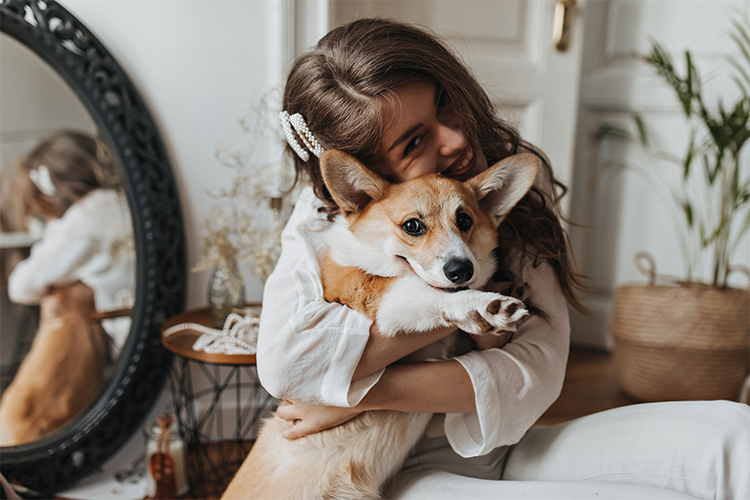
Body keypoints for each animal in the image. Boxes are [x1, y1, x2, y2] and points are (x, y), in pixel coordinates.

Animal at [223, 150, 540, 500]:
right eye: (412, 226)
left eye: (465, 221)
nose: (461, 270)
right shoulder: (369, 295)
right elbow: (425, 293)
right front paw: (483, 306)